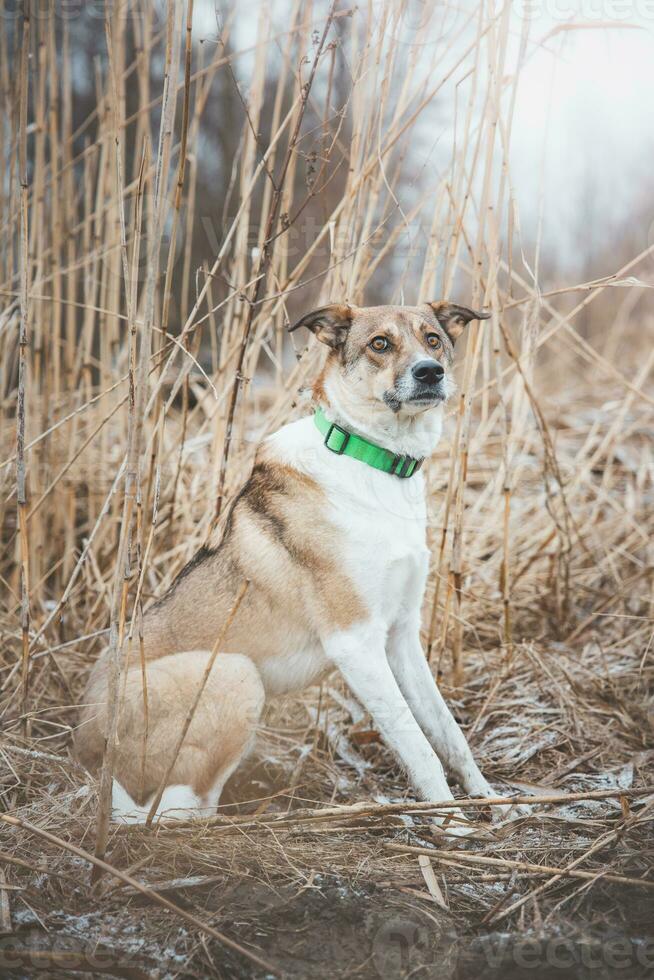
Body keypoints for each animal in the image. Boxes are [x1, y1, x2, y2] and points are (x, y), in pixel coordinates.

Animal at [78, 298, 508, 828]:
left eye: (433, 339)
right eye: (379, 343)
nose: (430, 372)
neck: (373, 461)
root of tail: (83, 746)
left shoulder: (402, 634)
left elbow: (448, 731)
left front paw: (488, 799)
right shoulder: (355, 642)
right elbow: (416, 742)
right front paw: (453, 822)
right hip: (235, 674)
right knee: (178, 809)